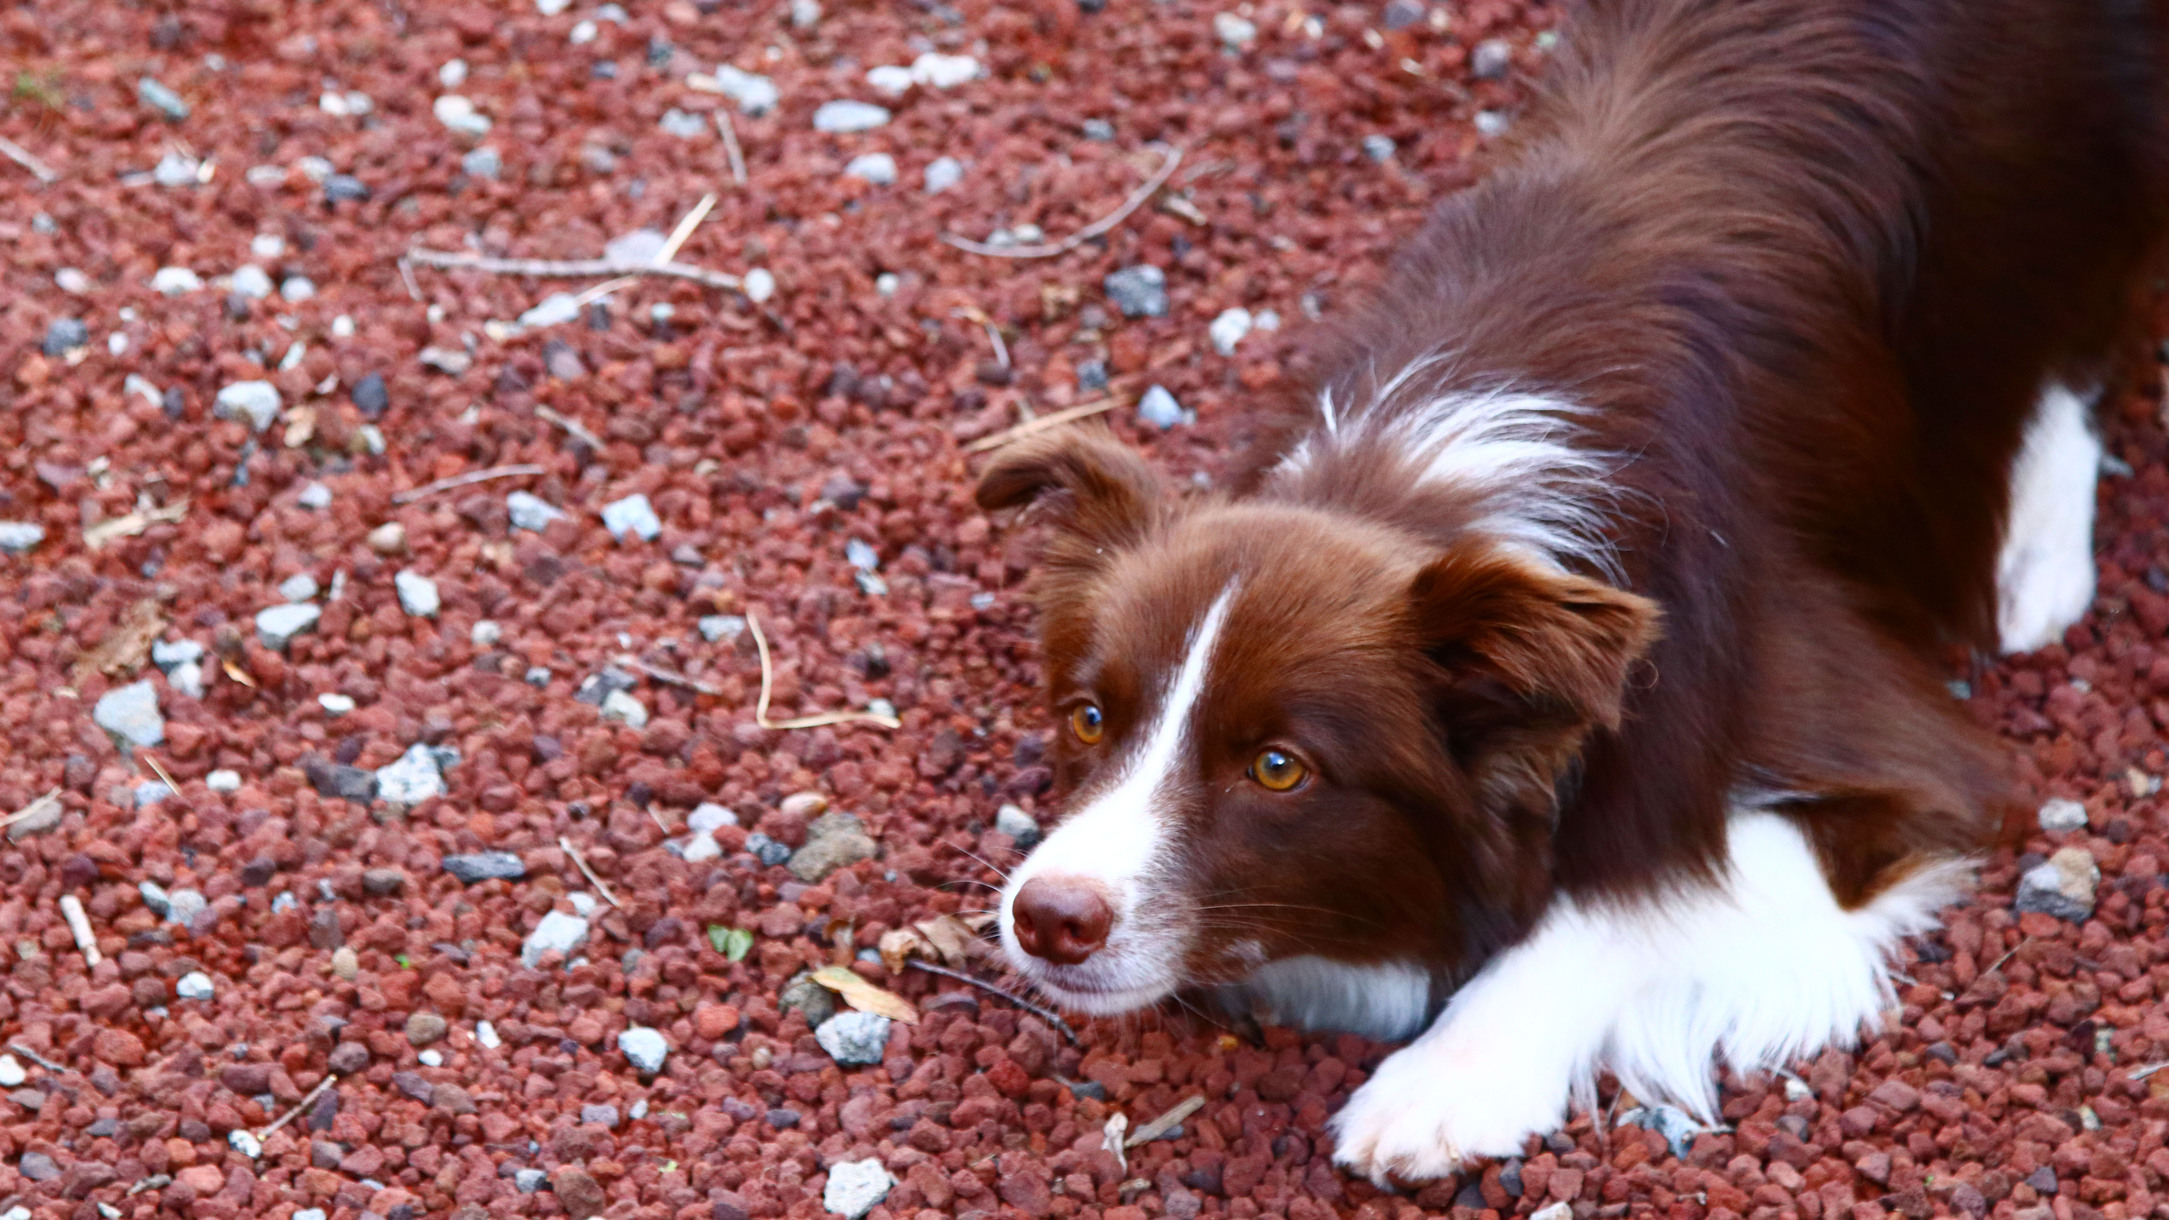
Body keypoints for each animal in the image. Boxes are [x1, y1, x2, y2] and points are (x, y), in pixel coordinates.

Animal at [980, 0, 2169, 1189]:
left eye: (1279, 767)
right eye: (1088, 717)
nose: (1050, 917)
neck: (1413, 488)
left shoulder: (1883, 744)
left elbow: (1637, 892)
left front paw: (1440, 1082)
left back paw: (2036, 550)